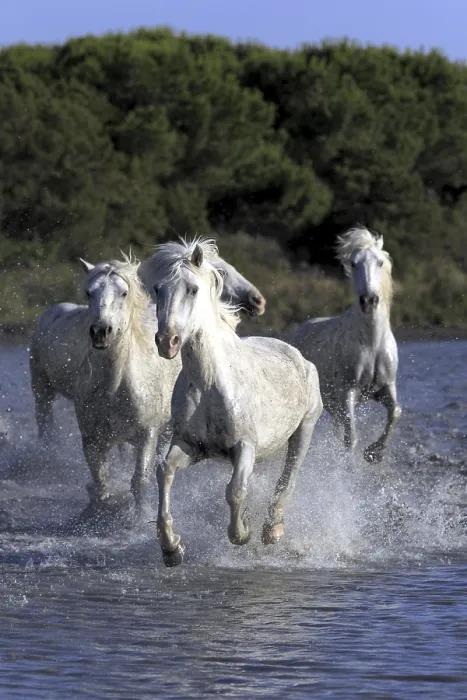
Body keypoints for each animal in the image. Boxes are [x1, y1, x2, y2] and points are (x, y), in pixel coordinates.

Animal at [150, 238, 323, 567]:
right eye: (158, 290)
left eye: (192, 289)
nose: (167, 342)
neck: (210, 383)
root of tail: (297, 355)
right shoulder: (191, 446)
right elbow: (164, 471)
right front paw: (171, 548)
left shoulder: (244, 446)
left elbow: (235, 491)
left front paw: (243, 533)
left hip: (304, 428)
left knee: (287, 480)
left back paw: (272, 530)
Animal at [292, 226, 401, 463]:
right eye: (353, 263)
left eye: (380, 262)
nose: (369, 301)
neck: (371, 343)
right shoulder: (348, 391)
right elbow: (351, 438)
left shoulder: (387, 387)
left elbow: (395, 412)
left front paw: (374, 453)